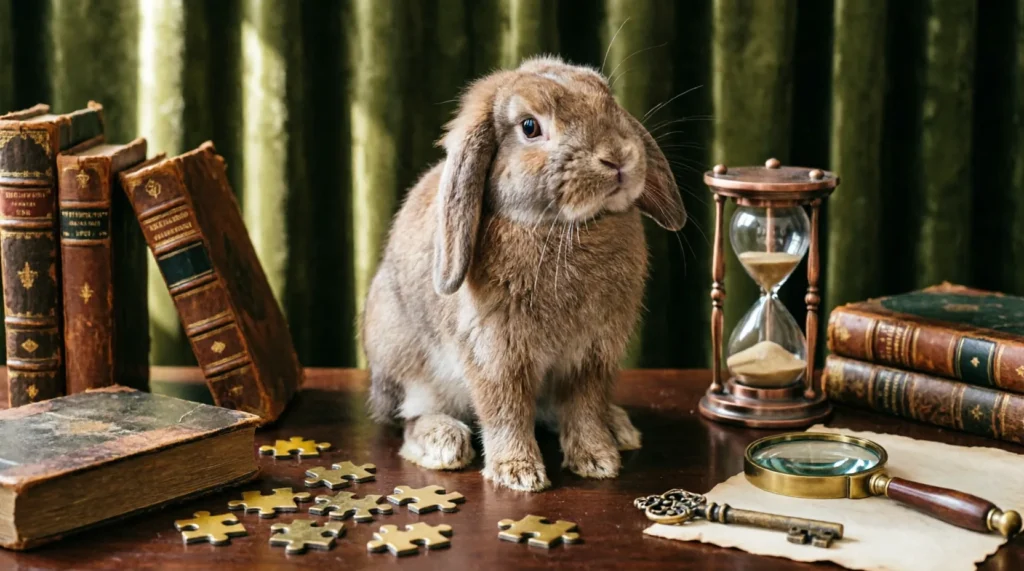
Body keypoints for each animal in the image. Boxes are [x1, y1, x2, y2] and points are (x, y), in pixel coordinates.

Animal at [361, 55, 685, 492]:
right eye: (530, 127)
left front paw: (598, 460)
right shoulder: (495, 353)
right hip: (408, 366)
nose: (617, 157)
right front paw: (518, 473)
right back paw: (444, 444)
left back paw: (618, 428)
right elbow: (505, 409)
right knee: (409, 419)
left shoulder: (592, 356)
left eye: (609, 101)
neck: (564, 227)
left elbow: (583, 407)